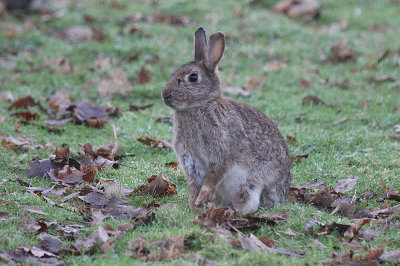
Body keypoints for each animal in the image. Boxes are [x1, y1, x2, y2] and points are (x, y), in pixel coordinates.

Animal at [162, 27, 290, 214]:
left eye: (193, 78)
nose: (165, 95)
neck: (199, 105)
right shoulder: (191, 162)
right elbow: (194, 185)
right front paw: (194, 205)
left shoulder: (222, 153)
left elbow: (211, 179)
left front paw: (201, 200)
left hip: (251, 187)